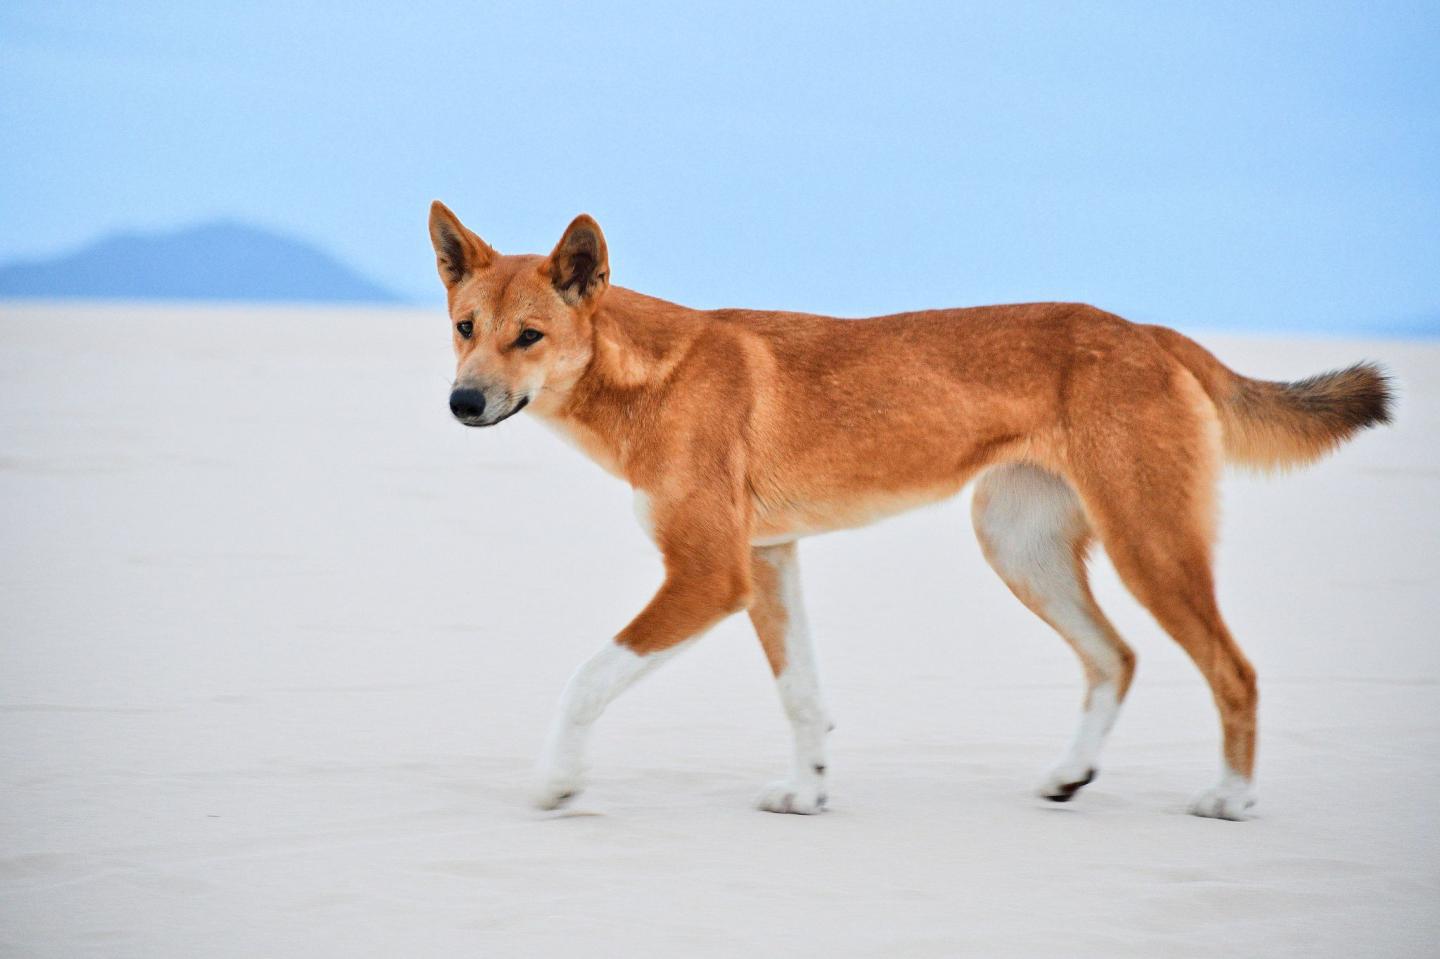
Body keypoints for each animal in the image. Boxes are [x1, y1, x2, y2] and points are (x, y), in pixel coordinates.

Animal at [429, 200, 1393, 812]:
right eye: (465, 327)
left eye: (530, 336)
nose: (463, 403)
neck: (649, 377)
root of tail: (1152, 331)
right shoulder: (766, 561)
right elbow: (802, 695)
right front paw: (808, 790)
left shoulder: (707, 574)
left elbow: (586, 678)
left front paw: (556, 781)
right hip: (1019, 546)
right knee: (1114, 657)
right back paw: (1069, 774)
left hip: (1148, 544)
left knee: (1233, 669)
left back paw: (1233, 796)